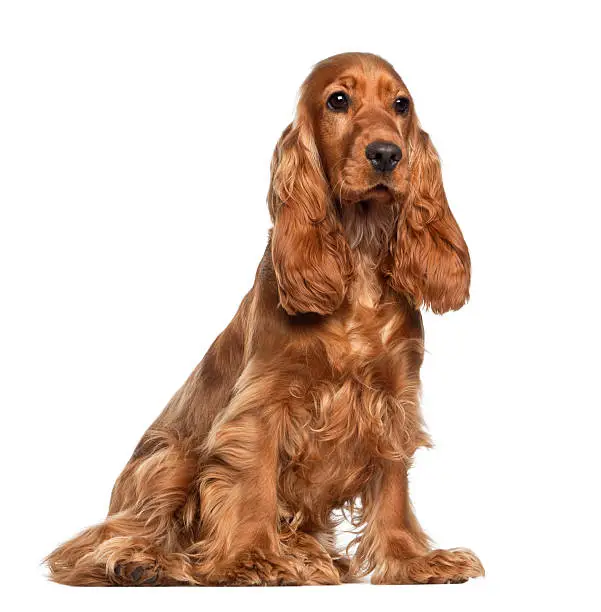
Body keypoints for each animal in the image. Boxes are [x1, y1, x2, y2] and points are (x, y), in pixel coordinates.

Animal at [45, 53, 482, 588]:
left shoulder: (393, 399)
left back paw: (310, 554)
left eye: (401, 104)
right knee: (98, 543)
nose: (386, 154)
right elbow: (253, 484)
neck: (357, 257)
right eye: (339, 100)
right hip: (169, 458)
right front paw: (254, 558)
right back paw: (141, 561)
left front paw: (412, 561)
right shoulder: (261, 403)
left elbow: (394, 489)